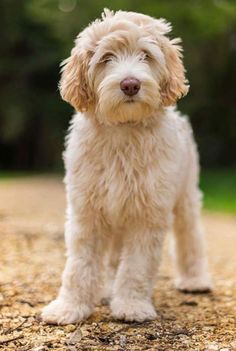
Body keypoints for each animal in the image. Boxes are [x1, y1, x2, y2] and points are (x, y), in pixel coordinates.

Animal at [42, 8, 212, 326]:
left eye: (145, 55)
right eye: (107, 57)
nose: (130, 84)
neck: (123, 130)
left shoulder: (148, 213)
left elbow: (136, 266)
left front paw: (131, 306)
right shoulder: (87, 210)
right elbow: (79, 265)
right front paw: (69, 307)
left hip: (185, 196)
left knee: (190, 236)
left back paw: (195, 280)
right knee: (111, 258)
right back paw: (107, 288)